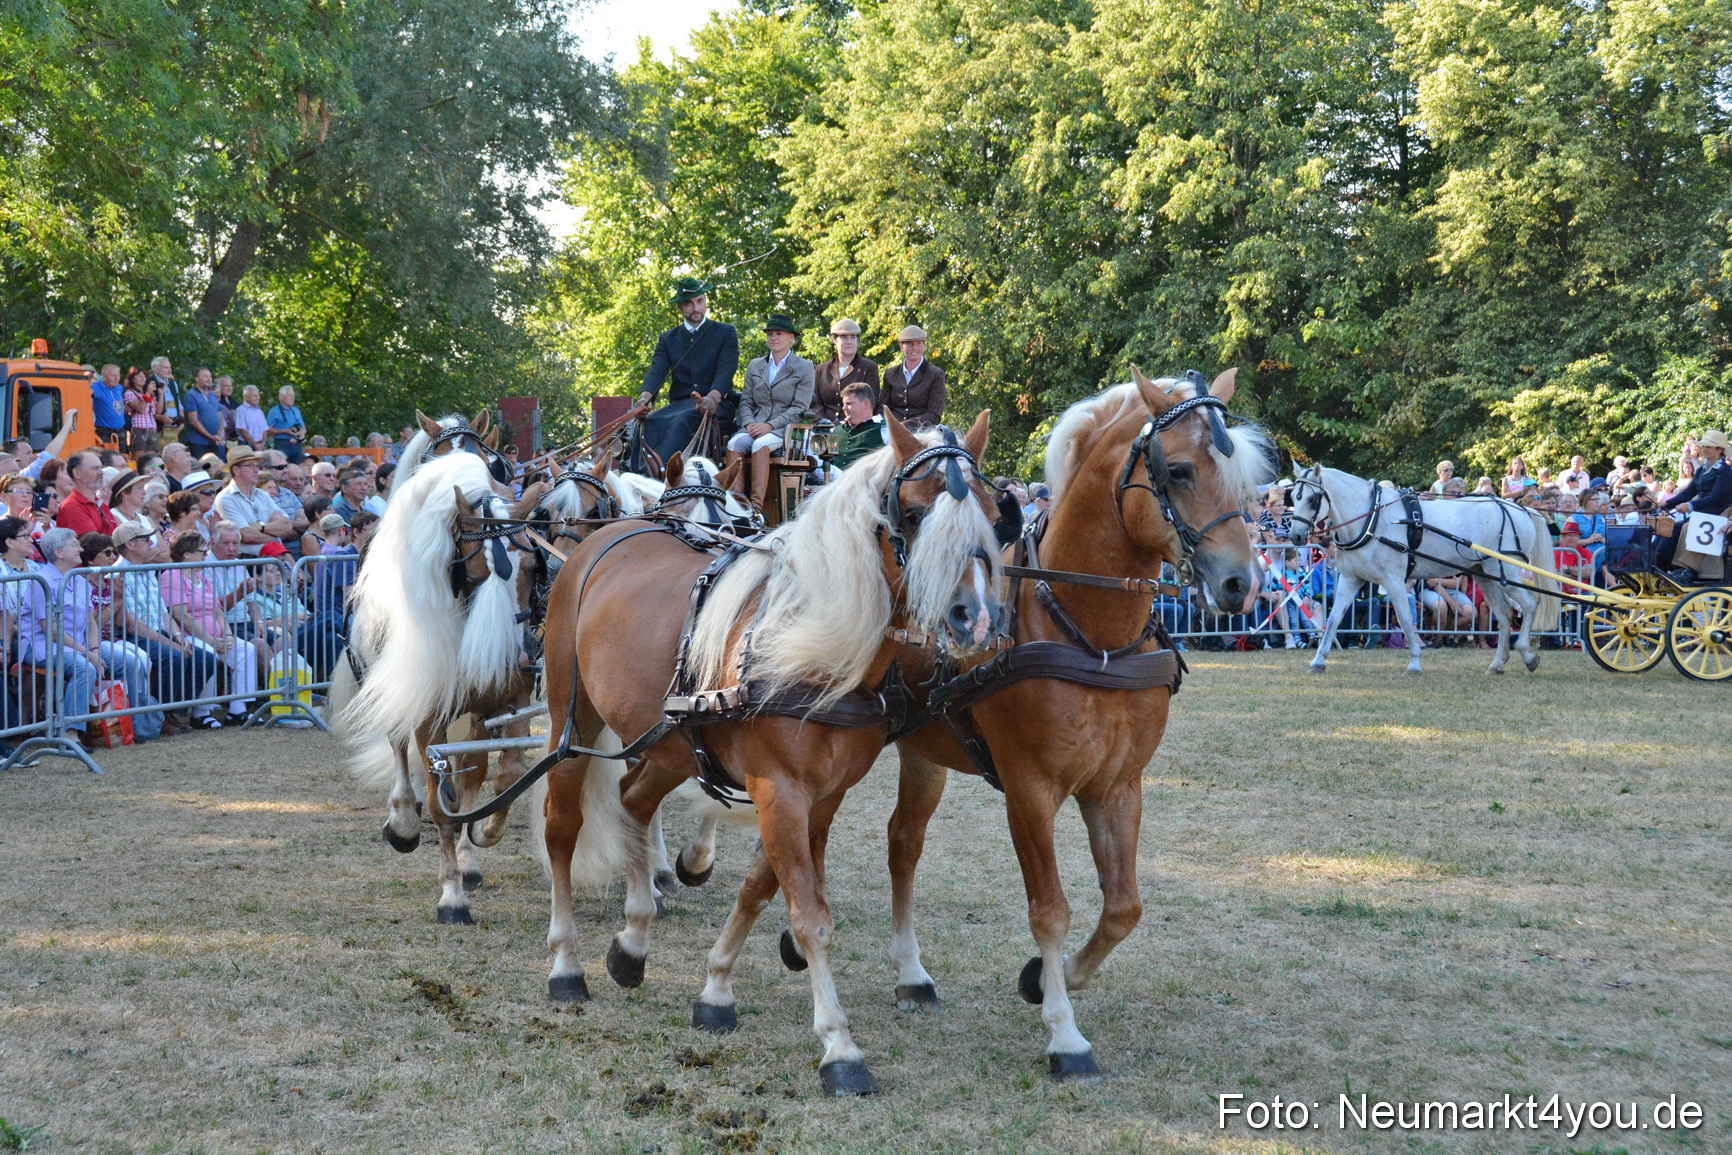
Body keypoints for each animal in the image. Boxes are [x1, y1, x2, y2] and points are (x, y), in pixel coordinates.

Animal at [533, 412, 1008, 1094]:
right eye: (915, 512)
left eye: (995, 514)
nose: (975, 618)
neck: (809, 641)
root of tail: (606, 536)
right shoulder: (778, 787)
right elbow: (810, 914)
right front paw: (839, 1046)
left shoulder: (820, 794)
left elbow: (766, 886)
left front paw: (715, 991)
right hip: (571, 723)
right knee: (562, 827)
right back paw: (567, 964)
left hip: (671, 742)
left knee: (633, 802)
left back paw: (633, 941)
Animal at [1286, 463, 1561, 675]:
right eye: (1293, 497)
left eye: (1312, 499)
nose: (1296, 536)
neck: (1372, 520)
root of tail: (1521, 509)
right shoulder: (1351, 578)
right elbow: (1333, 618)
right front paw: (1318, 661)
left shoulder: (1393, 579)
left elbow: (1406, 619)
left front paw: (1414, 663)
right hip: (1485, 575)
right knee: (1504, 616)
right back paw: (1496, 664)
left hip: (1506, 572)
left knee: (1529, 604)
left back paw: (1527, 654)